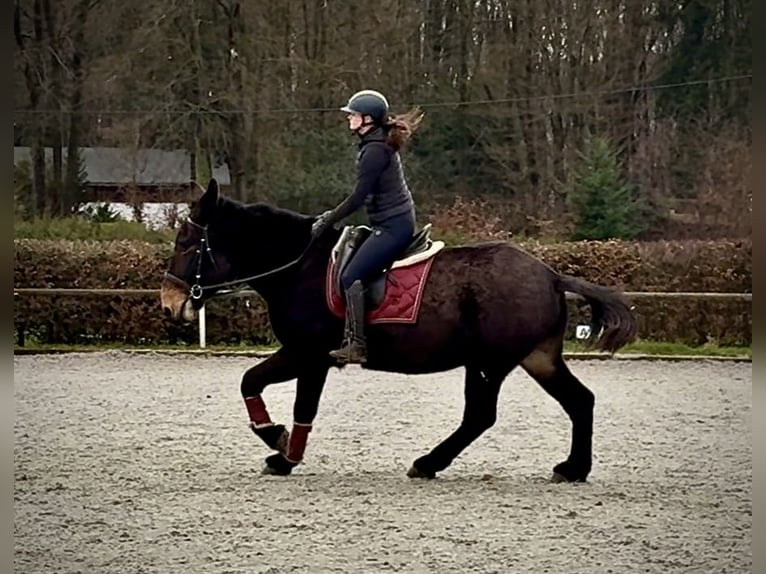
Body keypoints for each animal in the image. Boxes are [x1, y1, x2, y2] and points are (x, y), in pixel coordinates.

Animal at [161, 178, 637, 482]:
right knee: (579, 401)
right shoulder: (302, 354)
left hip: (489, 362)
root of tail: (551, 276)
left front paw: (284, 452)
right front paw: (278, 442)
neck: (299, 266)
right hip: (536, 357)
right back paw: (573, 469)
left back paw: (428, 463)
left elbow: (289, 400)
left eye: (187, 242)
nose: (168, 304)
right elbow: (254, 383)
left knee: (481, 415)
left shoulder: (309, 355)